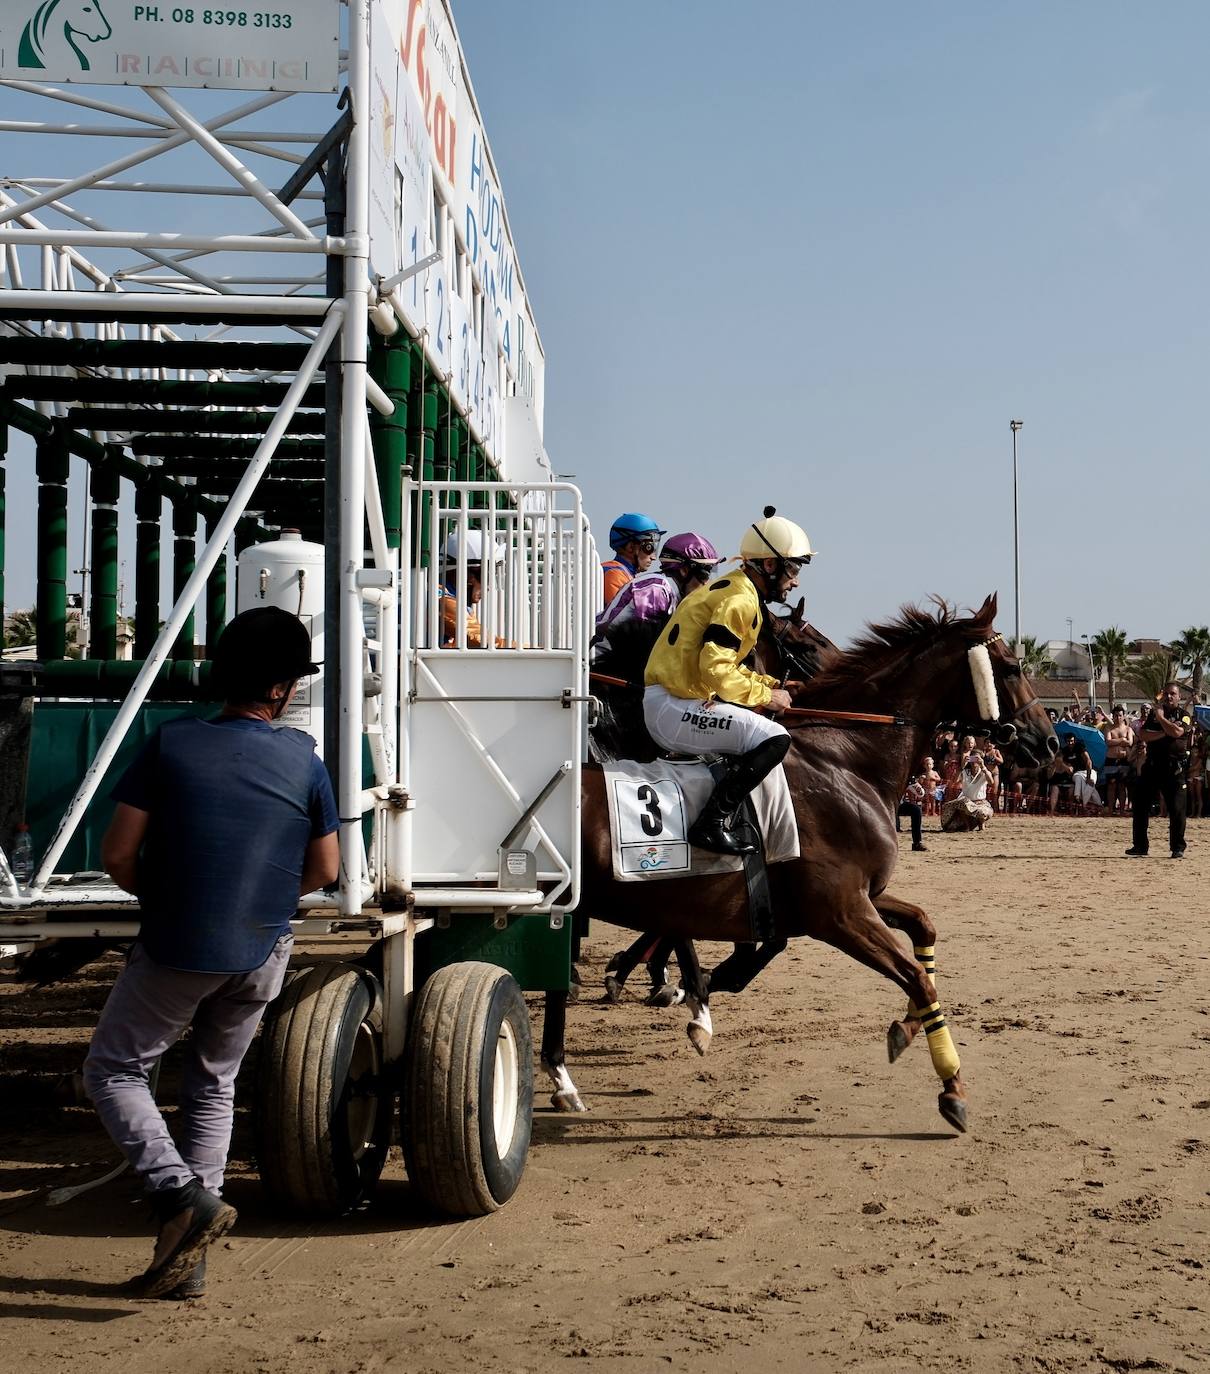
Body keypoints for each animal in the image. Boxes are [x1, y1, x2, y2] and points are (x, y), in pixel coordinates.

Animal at [543, 590, 1054, 1126]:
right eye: (1012, 667)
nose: (1050, 741)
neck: (846, 759)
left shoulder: (861, 896)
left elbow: (923, 930)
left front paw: (907, 1027)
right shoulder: (838, 913)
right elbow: (917, 978)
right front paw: (951, 1085)